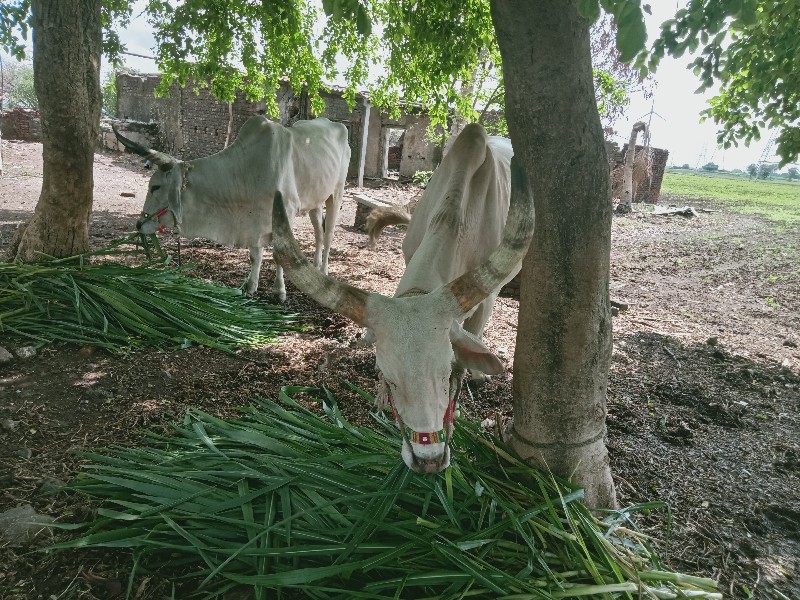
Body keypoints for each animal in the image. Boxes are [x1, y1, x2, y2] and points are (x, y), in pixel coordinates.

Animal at [114, 114, 352, 300]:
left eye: (155, 186)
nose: (139, 224)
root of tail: (335, 124)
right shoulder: (254, 220)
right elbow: (255, 255)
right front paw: (250, 287)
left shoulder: (286, 213)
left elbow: (278, 255)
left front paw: (279, 292)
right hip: (315, 201)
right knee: (319, 233)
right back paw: (315, 267)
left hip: (336, 193)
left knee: (328, 235)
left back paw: (324, 271)